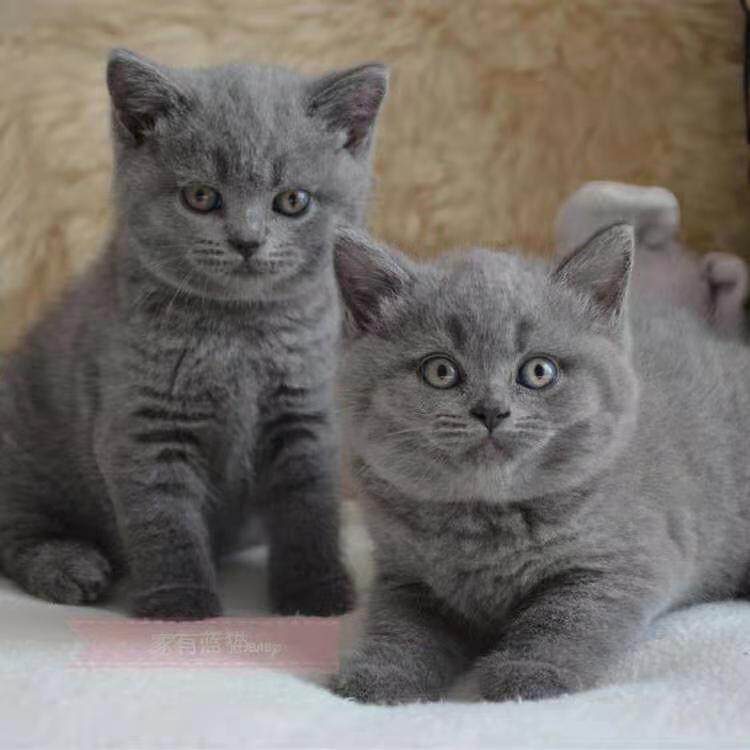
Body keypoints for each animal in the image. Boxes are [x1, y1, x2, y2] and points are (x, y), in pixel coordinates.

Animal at [0, 49, 387, 620]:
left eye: (292, 201)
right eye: (201, 196)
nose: (247, 241)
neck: (240, 331)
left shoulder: (304, 413)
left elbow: (308, 510)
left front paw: (316, 593)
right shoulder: (143, 424)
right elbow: (164, 521)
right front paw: (179, 603)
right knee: (18, 528)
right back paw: (71, 566)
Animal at [329, 223, 750, 703]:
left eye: (538, 371)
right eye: (440, 371)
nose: (491, 411)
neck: (485, 525)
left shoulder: (624, 561)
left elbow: (567, 618)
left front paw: (530, 674)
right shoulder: (405, 576)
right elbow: (400, 627)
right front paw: (378, 677)